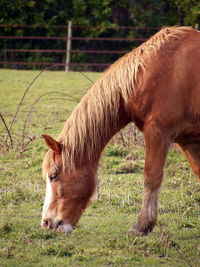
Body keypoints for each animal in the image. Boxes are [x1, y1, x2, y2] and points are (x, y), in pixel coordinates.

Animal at [40, 26, 200, 237]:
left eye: (54, 175)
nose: (46, 223)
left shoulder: (158, 133)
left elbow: (151, 177)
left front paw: (142, 225)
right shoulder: (187, 140)